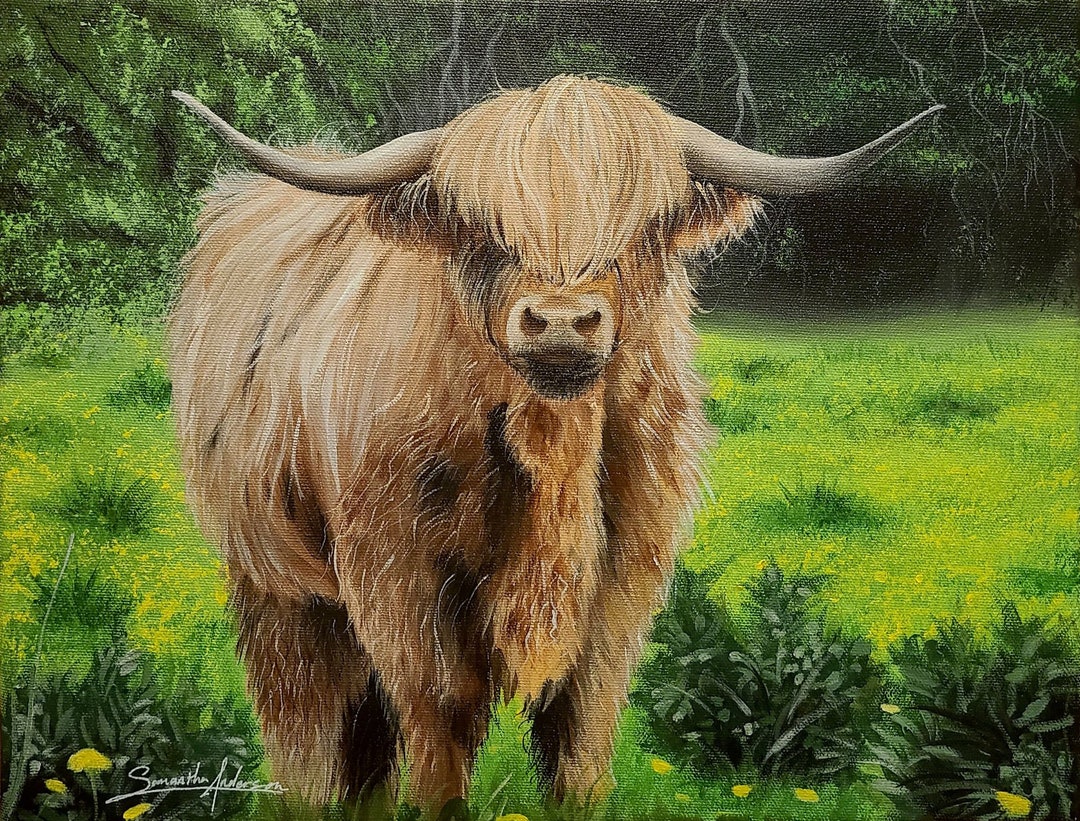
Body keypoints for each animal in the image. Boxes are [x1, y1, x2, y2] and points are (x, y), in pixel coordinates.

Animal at [168, 75, 940, 812]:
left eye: (641, 227)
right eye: (485, 230)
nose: (563, 323)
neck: (551, 453)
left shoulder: (626, 568)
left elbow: (580, 720)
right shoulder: (393, 569)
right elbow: (437, 713)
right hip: (274, 578)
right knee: (308, 713)